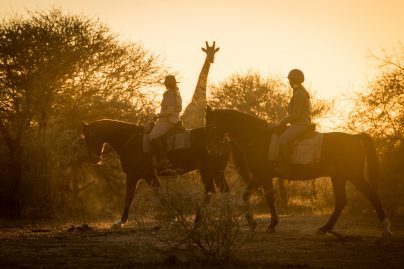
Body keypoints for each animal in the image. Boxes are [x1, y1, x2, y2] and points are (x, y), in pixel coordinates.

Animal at [80, 118, 232, 227]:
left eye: (89, 136)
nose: (94, 159)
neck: (130, 140)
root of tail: (224, 138)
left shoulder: (137, 176)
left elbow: (130, 198)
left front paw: (120, 221)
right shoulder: (145, 176)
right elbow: (158, 195)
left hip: (211, 171)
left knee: (216, 191)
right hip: (210, 171)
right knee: (216, 191)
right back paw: (205, 220)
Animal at [205, 105, 392, 236]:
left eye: (210, 125)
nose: (211, 149)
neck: (257, 136)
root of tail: (354, 137)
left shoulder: (264, 176)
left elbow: (270, 200)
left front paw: (271, 225)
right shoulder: (258, 176)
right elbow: (246, 196)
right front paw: (252, 223)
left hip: (353, 175)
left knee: (371, 195)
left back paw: (386, 228)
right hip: (338, 177)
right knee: (341, 202)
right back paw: (325, 228)